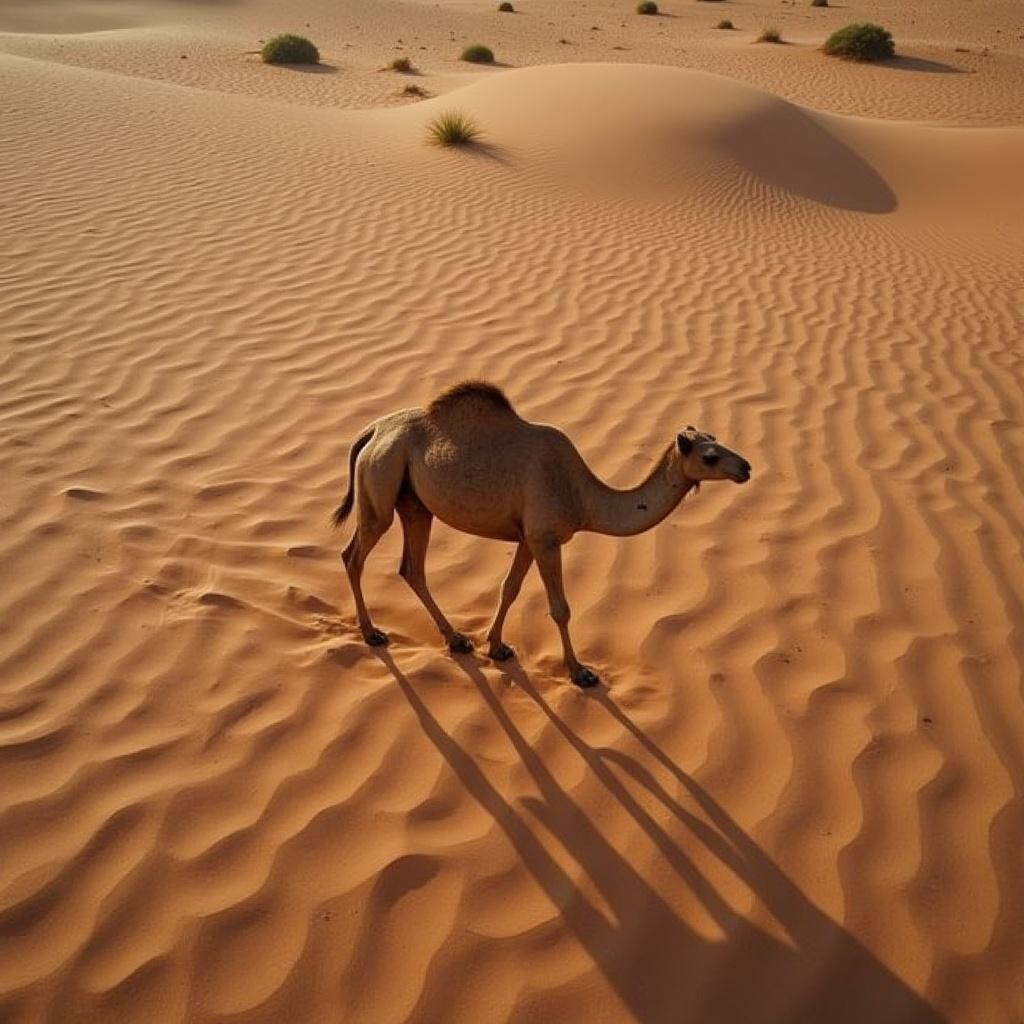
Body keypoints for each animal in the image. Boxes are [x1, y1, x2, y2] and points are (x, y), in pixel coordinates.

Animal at [333, 381, 751, 687]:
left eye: (719, 439)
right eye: (710, 456)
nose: (745, 467)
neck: (583, 497)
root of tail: (373, 430)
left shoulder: (528, 537)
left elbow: (510, 588)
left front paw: (497, 647)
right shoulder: (546, 538)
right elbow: (560, 608)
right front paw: (580, 672)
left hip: (414, 502)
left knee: (411, 567)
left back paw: (456, 639)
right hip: (382, 479)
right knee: (354, 554)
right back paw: (372, 633)